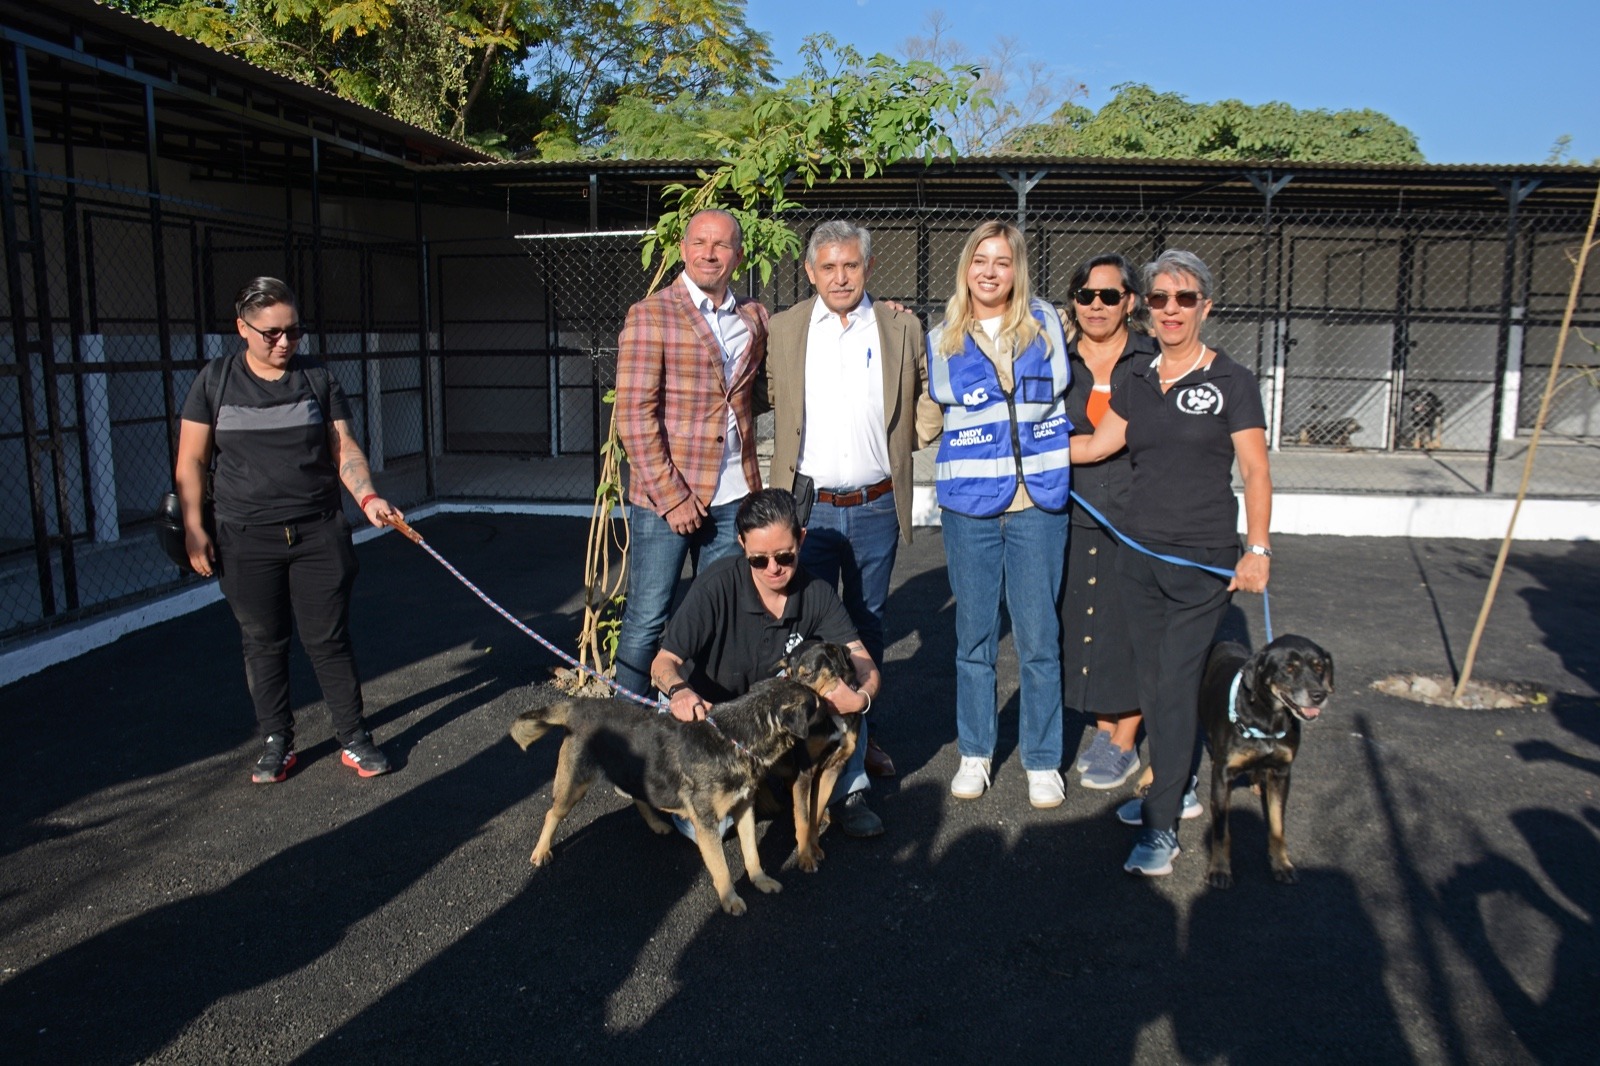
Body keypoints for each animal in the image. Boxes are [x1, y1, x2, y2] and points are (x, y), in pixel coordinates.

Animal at [508, 642, 854, 915]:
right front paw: (730, 899)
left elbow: (752, 852)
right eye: (818, 706)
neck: (737, 738)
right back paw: (541, 850)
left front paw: (760, 880)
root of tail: (579, 706)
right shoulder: (707, 824)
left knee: (638, 795)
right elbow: (721, 868)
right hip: (574, 784)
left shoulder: (743, 808)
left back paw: (657, 824)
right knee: (553, 813)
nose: (843, 715)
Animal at [1198, 635, 1334, 889]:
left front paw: (1282, 864)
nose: (1319, 695)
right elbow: (1221, 830)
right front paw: (1220, 868)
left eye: (1319, 667)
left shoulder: (1281, 773)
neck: (1268, 717)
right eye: (1289, 669)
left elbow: (1277, 825)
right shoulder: (1223, 774)